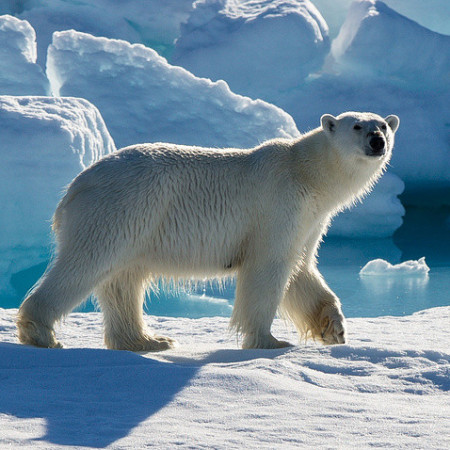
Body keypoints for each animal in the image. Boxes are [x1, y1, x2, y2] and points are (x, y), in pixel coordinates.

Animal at [16, 110, 400, 350]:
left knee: (124, 280)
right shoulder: (278, 206)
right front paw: (270, 341)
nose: (377, 141)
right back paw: (41, 334)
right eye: (357, 126)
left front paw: (334, 327)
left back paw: (149, 341)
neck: (305, 172)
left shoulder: (310, 220)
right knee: (86, 263)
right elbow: (268, 269)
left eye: (383, 125)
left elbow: (302, 270)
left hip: (135, 224)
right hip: (119, 208)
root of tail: (74, 187)